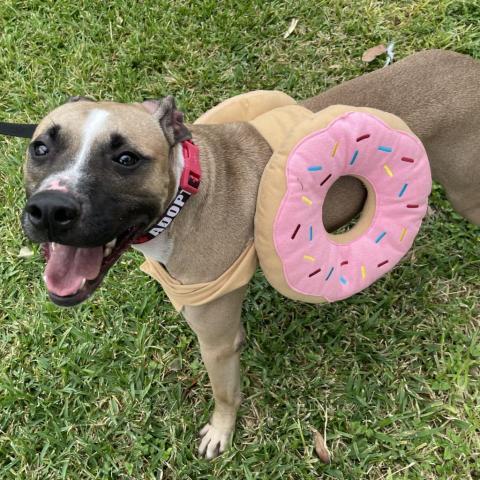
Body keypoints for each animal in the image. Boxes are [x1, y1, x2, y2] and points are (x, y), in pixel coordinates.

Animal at [20, 48, 478, 458]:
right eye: (40, 147)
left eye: (126, 158)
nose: (50, 210)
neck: (186, 194)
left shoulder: (216, 342)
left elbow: (225, 393)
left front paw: (221, 432)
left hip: (466, 193)